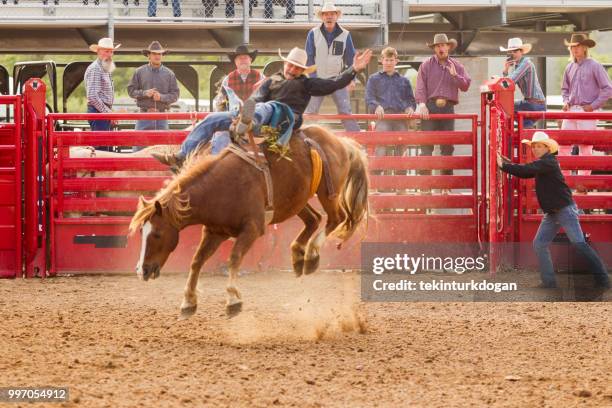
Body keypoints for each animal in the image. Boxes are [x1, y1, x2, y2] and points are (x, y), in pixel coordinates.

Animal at [128, 125, 368, 318]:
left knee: (336, 218)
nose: (142, 271)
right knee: (314, 219)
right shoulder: (215, 232)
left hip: (328, 193)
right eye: (141, 233)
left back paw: (311, 256)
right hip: (296, 200)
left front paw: (233, 300)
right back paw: (298, 256)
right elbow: (197, 261)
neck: (221, 187)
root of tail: (341, 142)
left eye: (157, 234)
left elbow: (234, 258)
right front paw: (188, 302)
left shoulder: (252, 229)